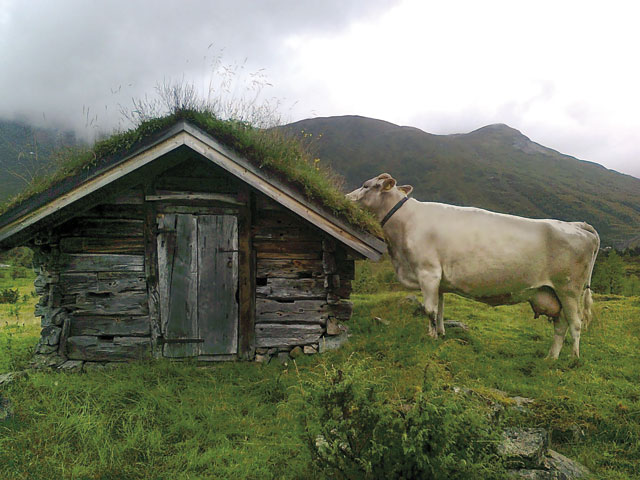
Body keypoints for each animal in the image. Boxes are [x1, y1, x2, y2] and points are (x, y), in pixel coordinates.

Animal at [344, 174, 600, 358]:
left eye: (366, 185)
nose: (346, 197)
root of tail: (576, 224)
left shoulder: (428, 272)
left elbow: (429, 310)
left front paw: (430, 338)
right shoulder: (439, 280)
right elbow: (440, 310)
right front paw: (440, 333)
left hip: (569, 289)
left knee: (576, 324)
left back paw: (573, 359)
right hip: (553, 293)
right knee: (560, 326)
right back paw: (551, 358)